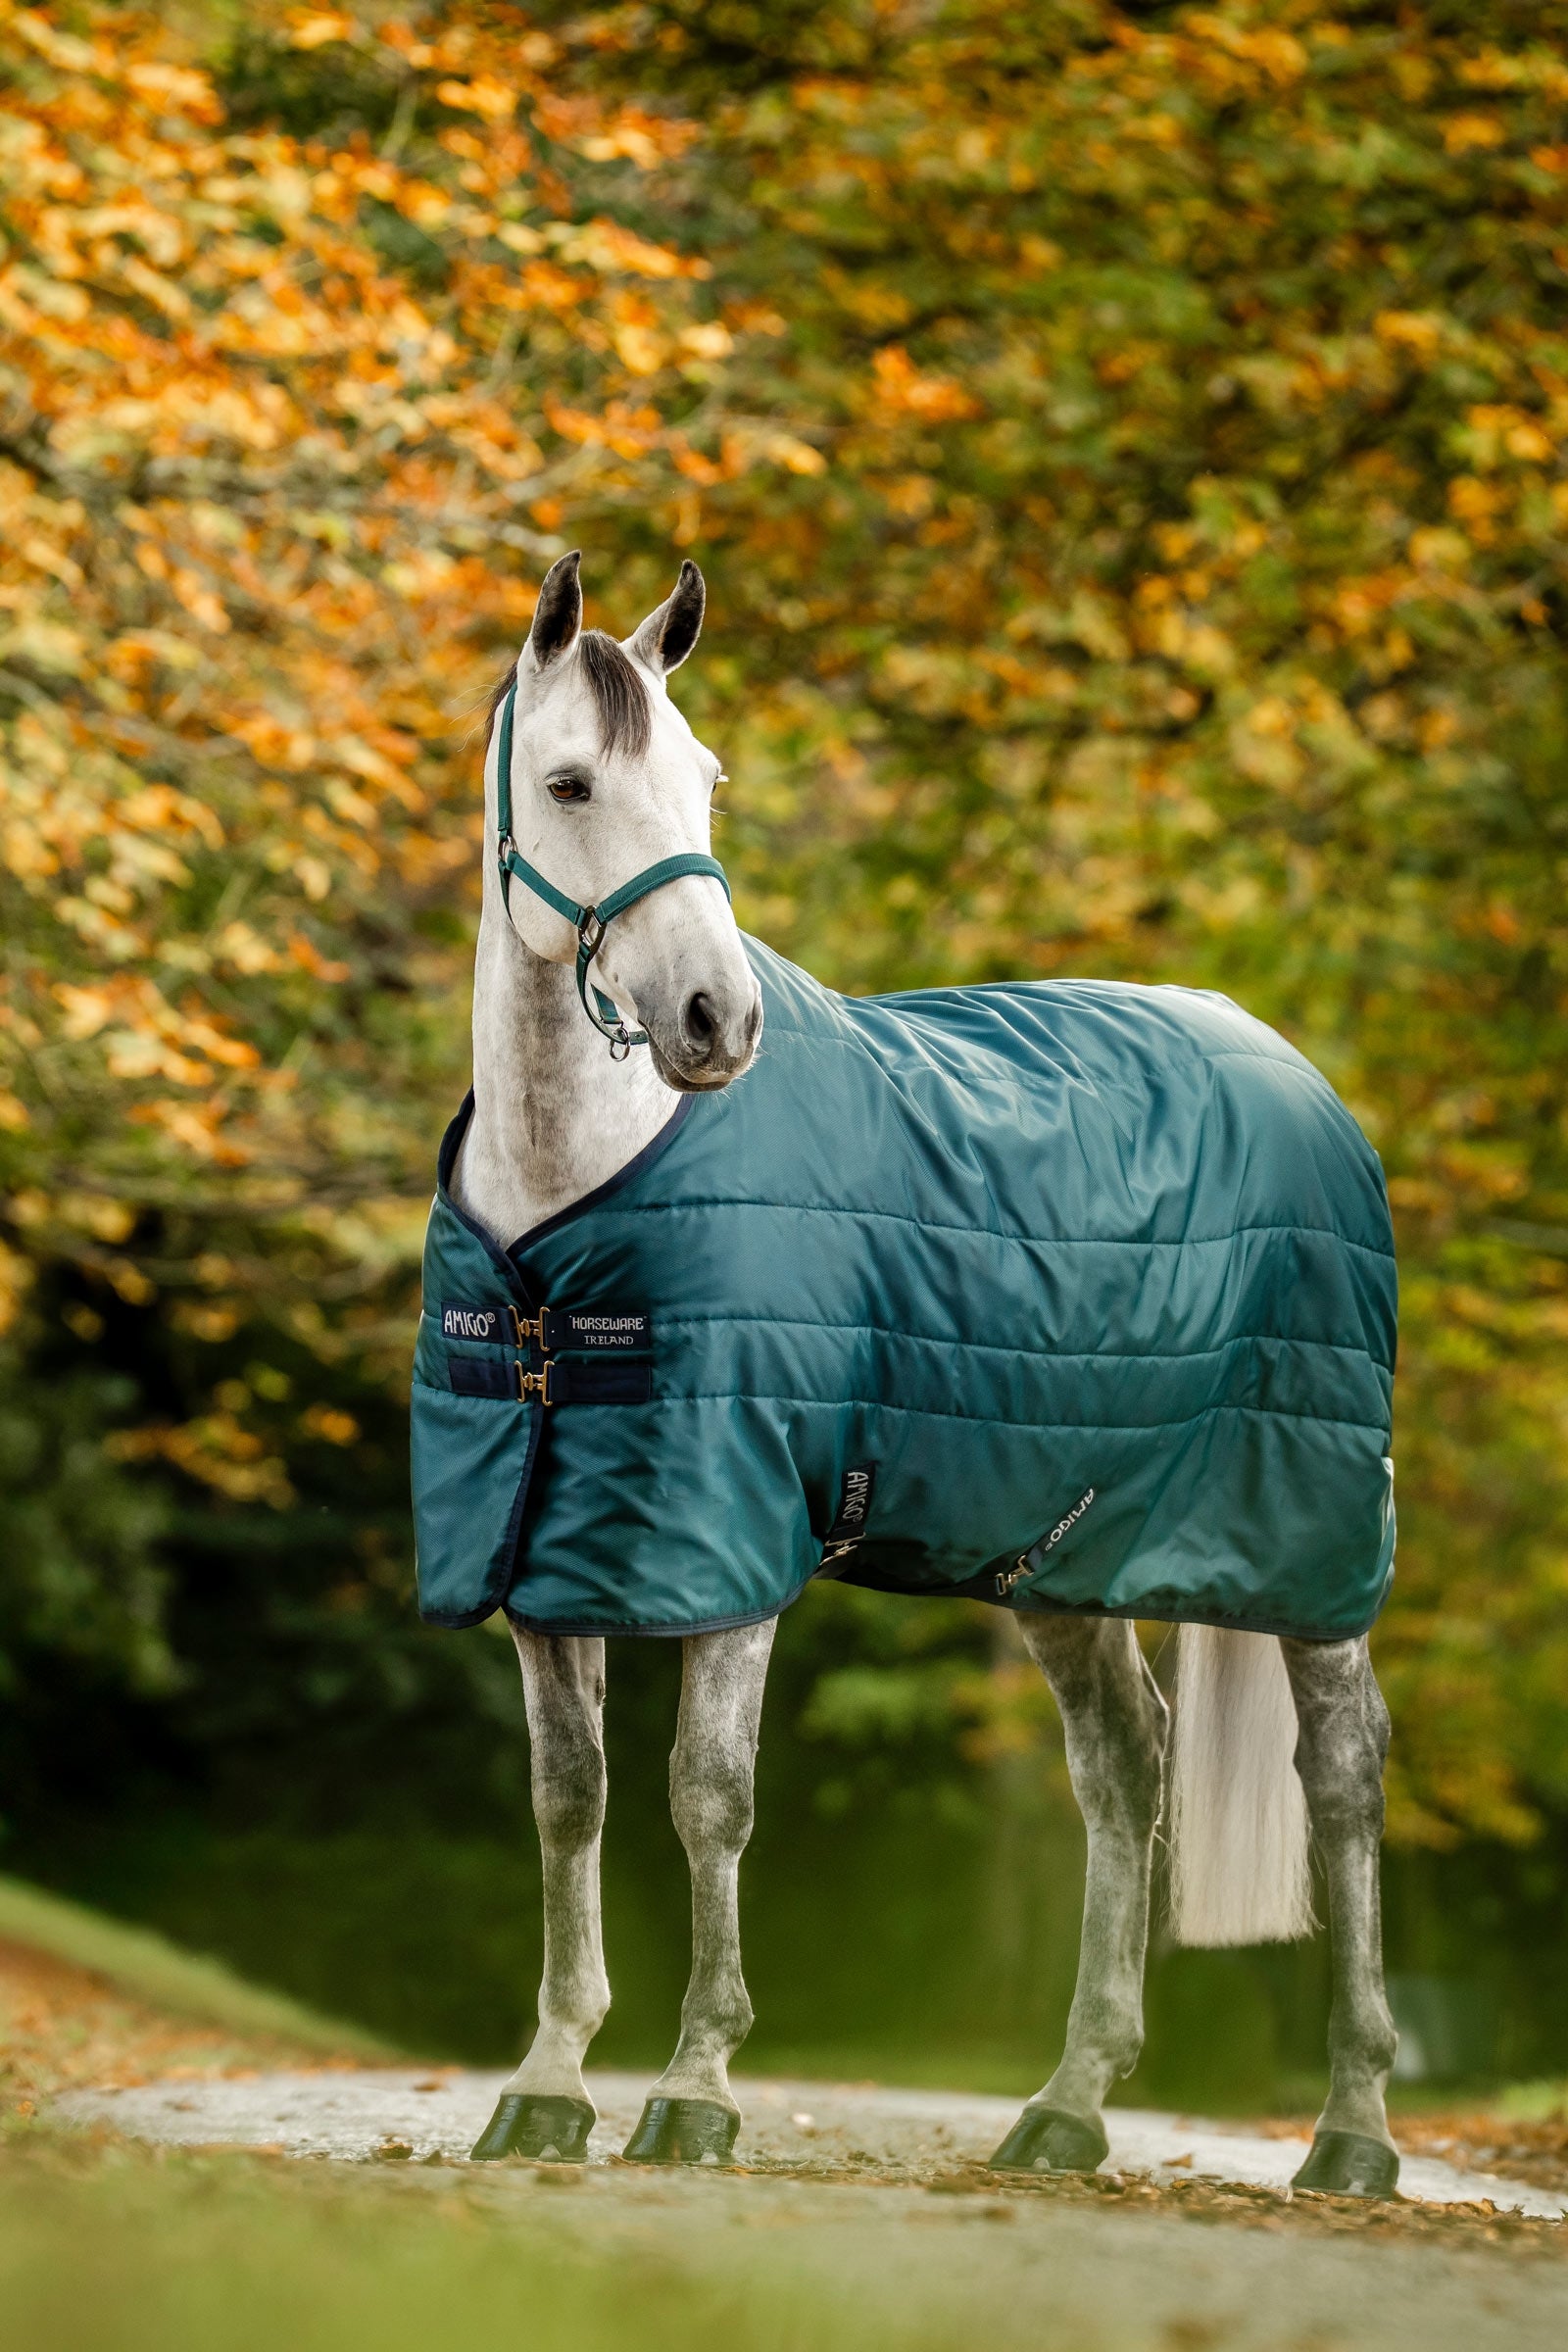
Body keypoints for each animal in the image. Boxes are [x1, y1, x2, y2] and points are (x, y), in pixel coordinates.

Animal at [427, 549, 1399, 2193]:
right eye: (568, 783)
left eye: (706, 780)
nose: (718, 1021)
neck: (573, 1204)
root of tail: (1291, 1069)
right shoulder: (544, 1551)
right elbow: (571, 1804)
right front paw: (547, 2088)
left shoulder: (733, 1537)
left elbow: (708, 1797)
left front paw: (696, 2093)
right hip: (1064, 1549)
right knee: (1124, 1768)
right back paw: (1066, 2109)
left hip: (1310, 1535)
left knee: (1342, 1779)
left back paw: (1353, 2132)